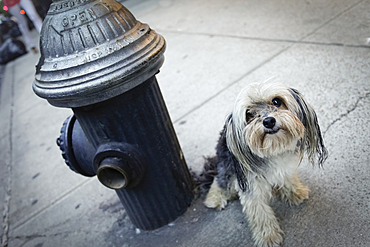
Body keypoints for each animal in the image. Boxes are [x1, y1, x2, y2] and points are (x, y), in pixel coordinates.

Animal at [204, 82, 328, 247]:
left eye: (276, 101)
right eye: (249, 114)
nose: (268, 121)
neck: (272, 150)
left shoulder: (284, 168)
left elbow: (287, 179)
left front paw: (295, 193)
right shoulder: (250, 186)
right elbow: (260, 213)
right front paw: (268, 237)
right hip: (227, 165)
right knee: (220, 180)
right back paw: (214, 198)